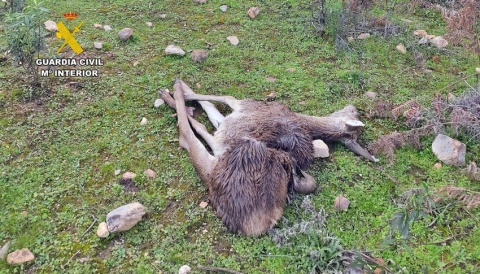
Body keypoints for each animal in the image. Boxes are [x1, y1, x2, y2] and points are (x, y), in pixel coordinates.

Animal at [159, 79, 376, 235]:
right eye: (353, 112)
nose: (354, 105)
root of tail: (252, 226)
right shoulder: (226, 127)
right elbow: (211, 112)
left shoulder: (241, 108)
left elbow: (222, 98)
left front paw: (181, 89)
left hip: (234, 156)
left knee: (187, 136)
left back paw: (174, 92)